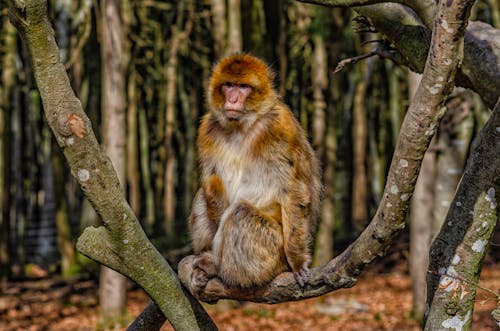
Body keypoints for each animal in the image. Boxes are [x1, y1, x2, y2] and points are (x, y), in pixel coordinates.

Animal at [188, 54, 320, 290]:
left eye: (243, 87)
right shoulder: (206, 130)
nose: (232, 100)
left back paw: (218, 268)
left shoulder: (280, 127)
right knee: (204, 195)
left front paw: (297, 262)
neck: (241, 126)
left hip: (273, 251)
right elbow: (211, 182)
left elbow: (293, 190)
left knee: (241, 214)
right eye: (228, 85)